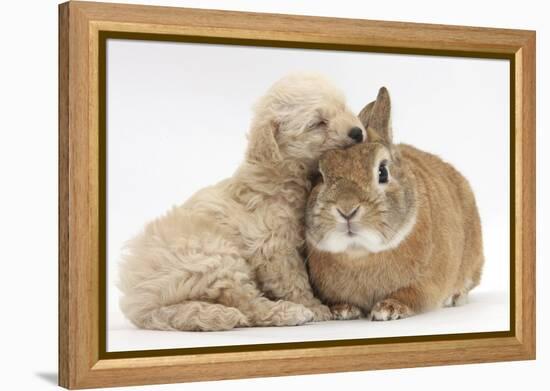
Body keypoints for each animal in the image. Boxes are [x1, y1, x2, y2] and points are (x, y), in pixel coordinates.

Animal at [119, 73, 368, 330]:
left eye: (343, 107)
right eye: (318, 123)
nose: (357, 132)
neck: (284, 175)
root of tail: (139, 303)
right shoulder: (272, 245)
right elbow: (292, 279)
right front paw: (313, 306)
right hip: (213, 256)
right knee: (246, 303)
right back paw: (291, 312)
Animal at [306, 86, 488, 322]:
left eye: (383, 172)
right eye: (319, 176)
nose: (347, 209)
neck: (360, 253)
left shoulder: (424, 285)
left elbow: (410, 295)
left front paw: (388, 309)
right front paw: (342, 310)